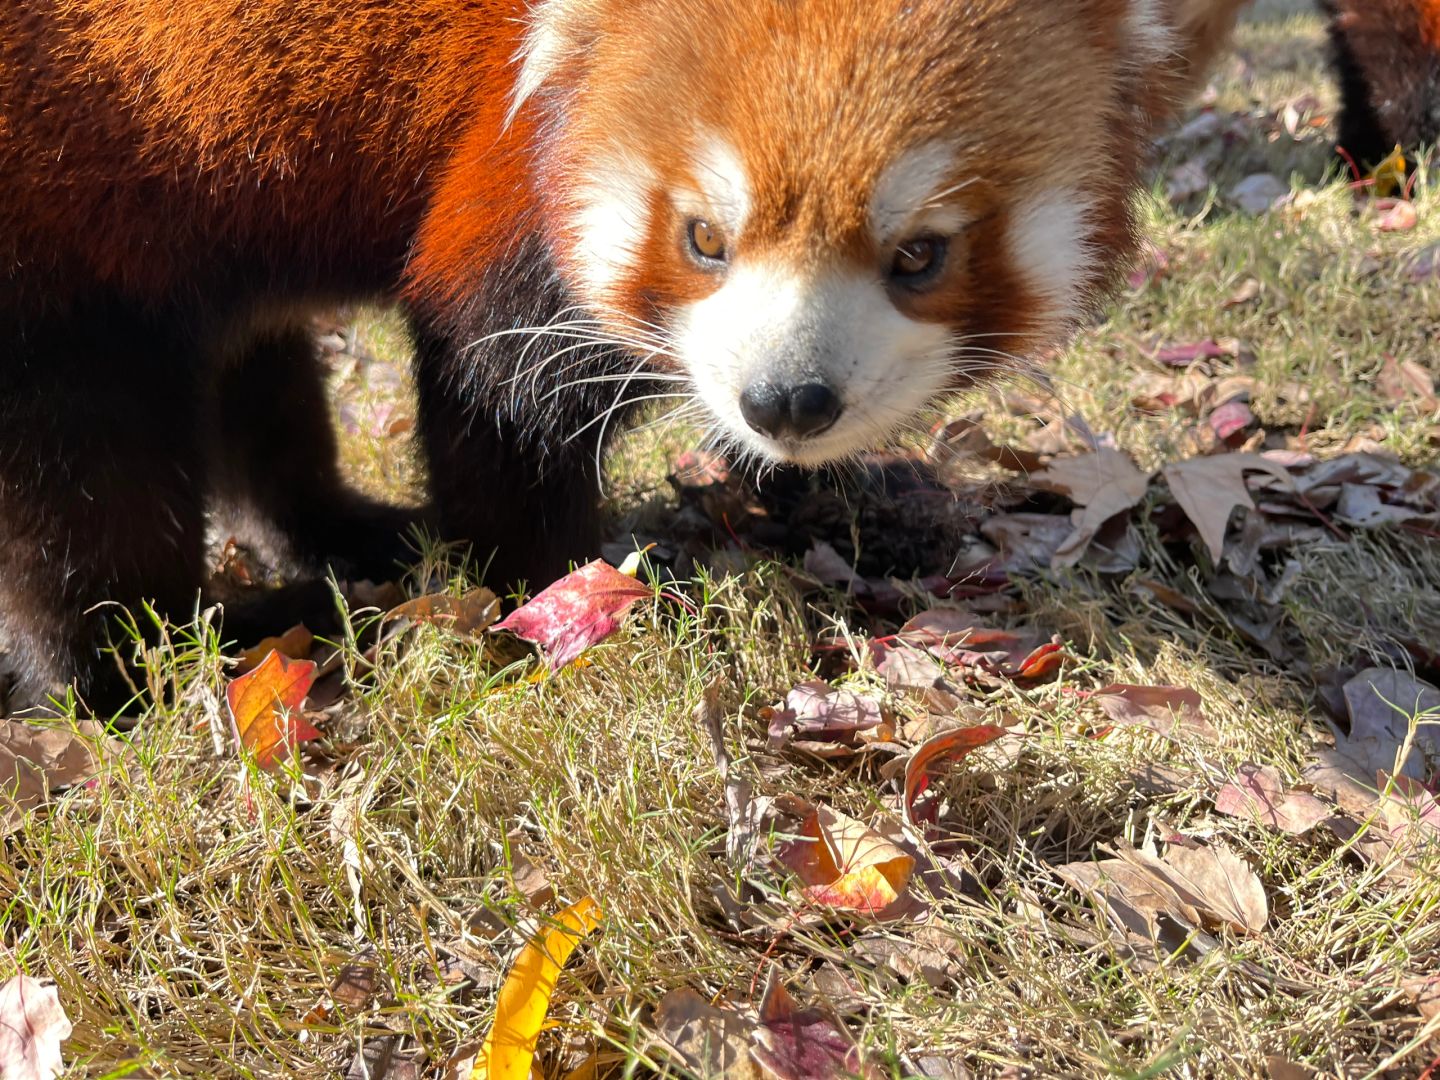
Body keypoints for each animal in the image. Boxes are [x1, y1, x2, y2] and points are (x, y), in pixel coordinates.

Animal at [0, 0, 1244, 711]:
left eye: (921, 255)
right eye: (704, 238)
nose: (787, 401)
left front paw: (833, 493)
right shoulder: (511, 156)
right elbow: (497, 394)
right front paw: (548, 598)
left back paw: (340, 530)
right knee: (83, 470)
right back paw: (141, 668)